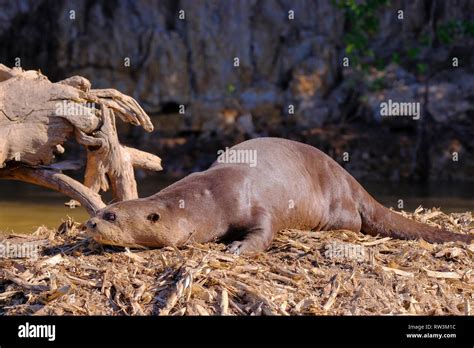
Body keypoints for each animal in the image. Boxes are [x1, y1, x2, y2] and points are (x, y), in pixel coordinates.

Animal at [84, 137, 470, 254]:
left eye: (111, 215)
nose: (90, 225)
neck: (206, 199)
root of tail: (351, 180)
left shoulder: (253, 202)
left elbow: (264, 230)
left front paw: (238, 248)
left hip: (337, 203)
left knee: (355, 222)